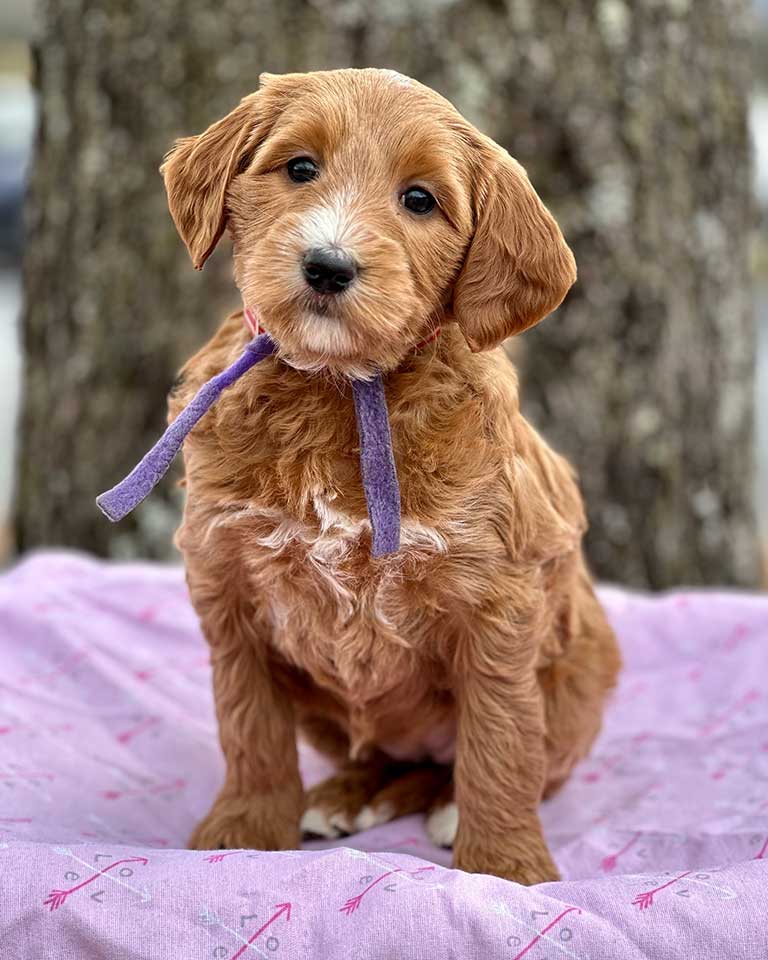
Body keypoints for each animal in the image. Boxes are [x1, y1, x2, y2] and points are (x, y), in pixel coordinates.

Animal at [165, 67, 620, 884]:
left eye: (419, 199)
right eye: (299, 167)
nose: (328, 265)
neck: (339, 388)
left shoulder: (498, 602)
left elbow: (500, 739)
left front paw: (505, 864)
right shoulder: (229, 581)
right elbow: (249, 722)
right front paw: (244, 831)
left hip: (579, 674)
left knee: (503, 759)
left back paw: (445, 806)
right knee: (381, 750)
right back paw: (347, 794)